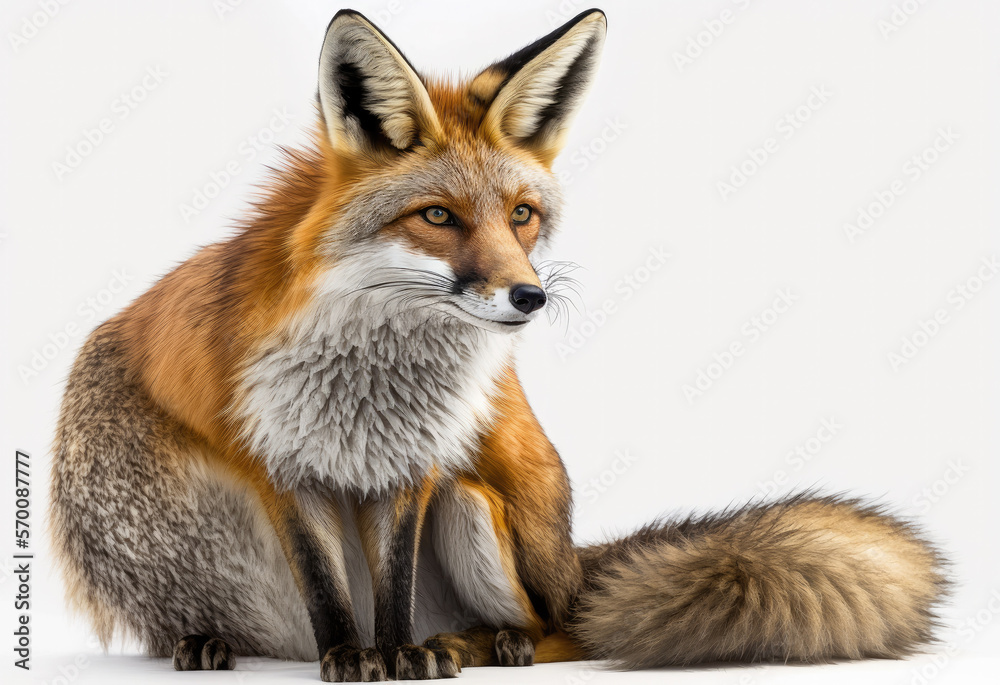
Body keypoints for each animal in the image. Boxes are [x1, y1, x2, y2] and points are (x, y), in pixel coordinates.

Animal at [50, 8, 948, 683]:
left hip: (478, 506)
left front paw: (398, 654)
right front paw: (349, 656)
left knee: (567, 629)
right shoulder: (279, 464)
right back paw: (212, 639)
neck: (369, 381)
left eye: (521, 214)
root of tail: (572, 559)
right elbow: (328, 591)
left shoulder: (415, 466)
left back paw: (476, 643)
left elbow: (393, 585)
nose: (530, 296)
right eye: (437, 216)